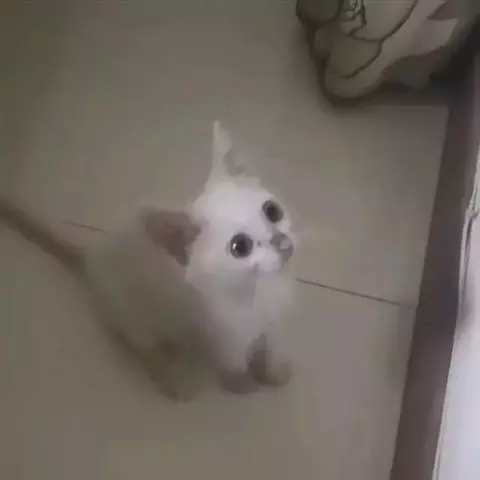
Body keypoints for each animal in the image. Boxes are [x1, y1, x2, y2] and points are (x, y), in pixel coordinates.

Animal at [1, 121, 296, 400]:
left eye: (272, 211)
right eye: (240, 247)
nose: (281, 242)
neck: (260, 290)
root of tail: (92, 260)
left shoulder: (273, 324)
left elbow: (269, 350)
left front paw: (272, 372)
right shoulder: (226, 340)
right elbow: (235, 366)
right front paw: (243, 385)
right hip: (133, 318)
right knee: (147, 351)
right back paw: (174, 380)